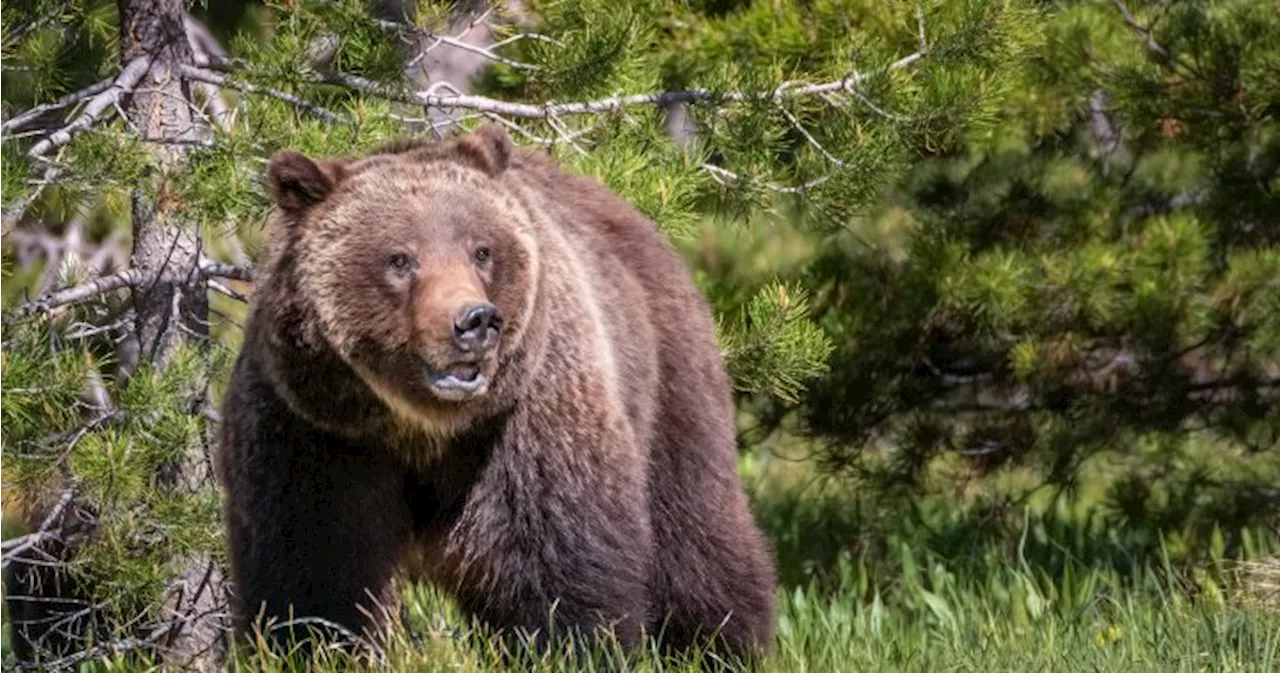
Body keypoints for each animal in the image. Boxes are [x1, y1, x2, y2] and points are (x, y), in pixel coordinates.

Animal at [215, 125, 773, 665]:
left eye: (481, 250)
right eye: (400, 259)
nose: (475, 320)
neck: (418, 426)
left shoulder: (527, 418)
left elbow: (558, 556)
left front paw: (571, 647)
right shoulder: (314, 427)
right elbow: (313, 564)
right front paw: (313, 644)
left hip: (667, 379)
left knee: (694, 534)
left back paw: (719, 644)